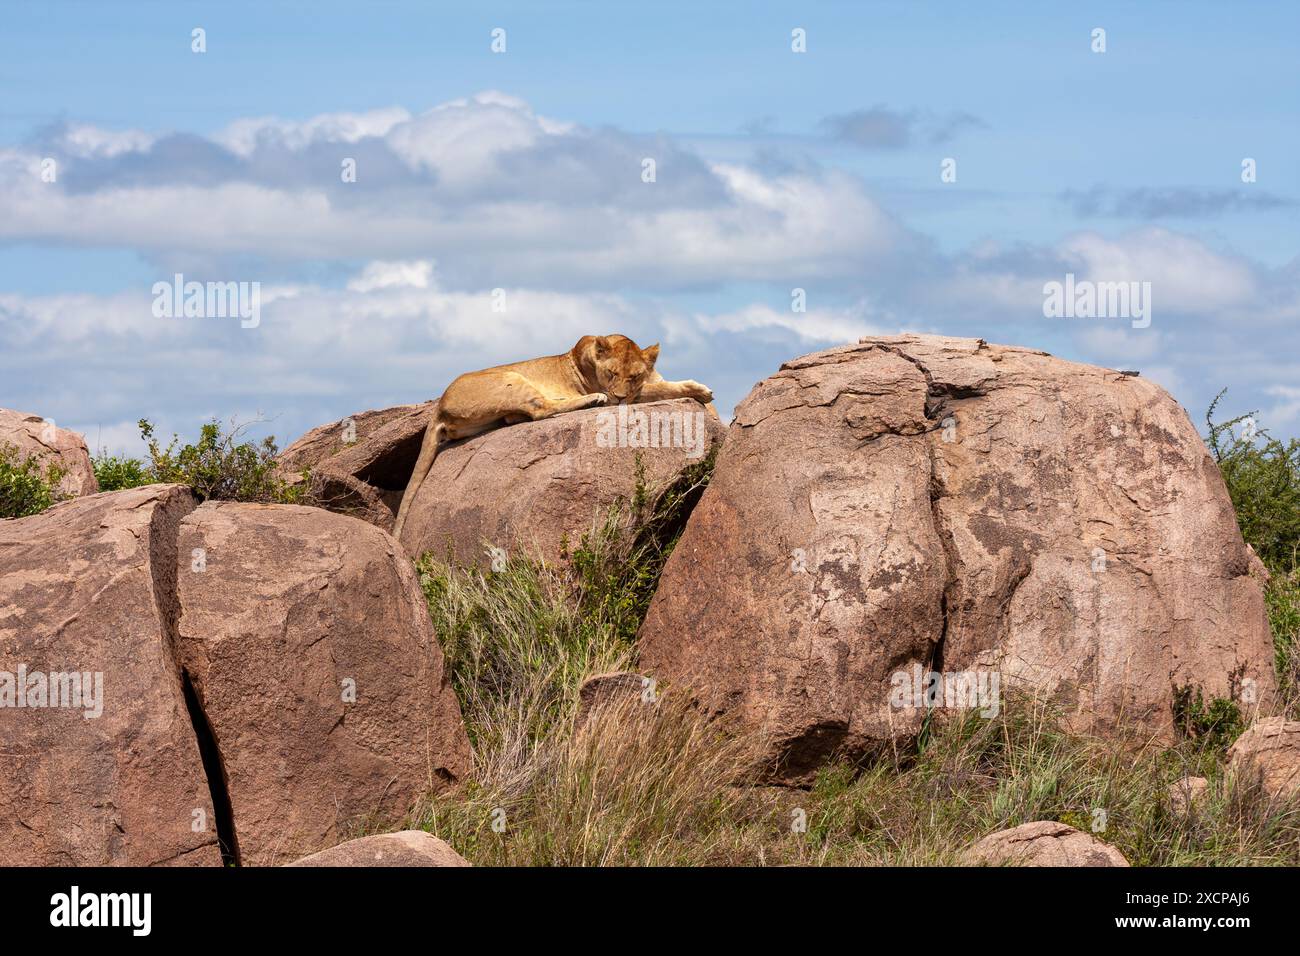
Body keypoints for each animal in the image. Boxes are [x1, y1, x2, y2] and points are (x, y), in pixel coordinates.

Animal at [392, 334, 715, 538]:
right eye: (611, 373)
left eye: (632, 375)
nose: (619, 396)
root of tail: (439, 406)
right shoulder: (625, 394)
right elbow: (661, 389)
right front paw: (698, 390)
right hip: (513, 378)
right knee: (541, 409)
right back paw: (591, 400)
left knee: (522, 414)